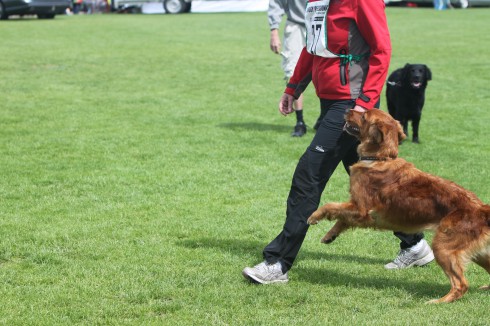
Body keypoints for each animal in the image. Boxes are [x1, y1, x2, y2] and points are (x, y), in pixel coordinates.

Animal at [308, 109, 488, 304]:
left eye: (363, 116)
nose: (348, 109)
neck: (380, 158)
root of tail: (481, 208)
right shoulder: (359, 211)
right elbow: (341, 219)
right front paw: (330, 235)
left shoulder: (361, 209)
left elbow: (331, 205)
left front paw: (314, 216)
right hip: (480, 253)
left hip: (443, 247)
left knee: (461, 284)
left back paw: (439, 301)